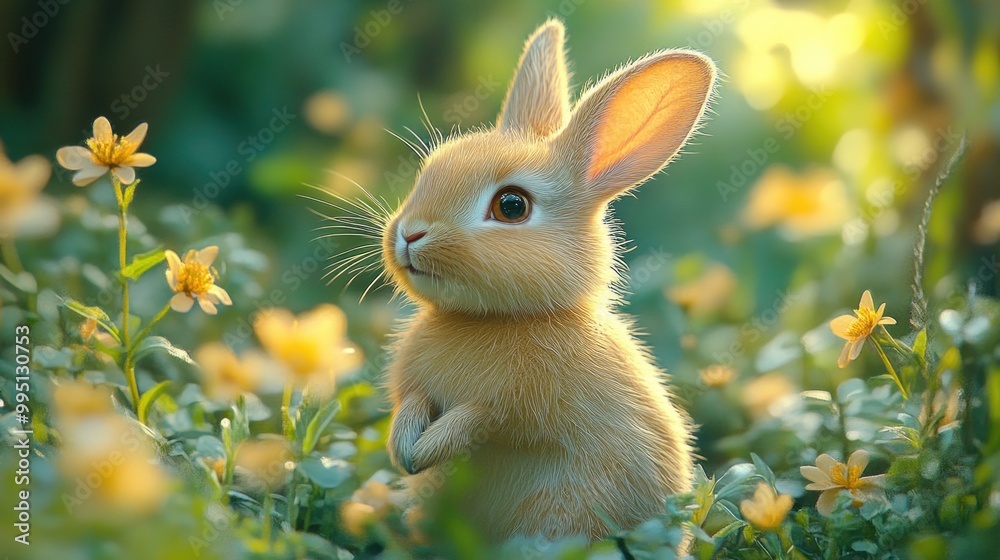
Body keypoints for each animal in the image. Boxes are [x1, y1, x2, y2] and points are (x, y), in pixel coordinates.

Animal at [381, 18, 717, 543]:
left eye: (511, 206)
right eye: (428, 171)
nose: (410, 234)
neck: (491, 318)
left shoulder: (512, 406)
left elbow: (480, 419)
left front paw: (426, 450)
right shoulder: (414, 385)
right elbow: (410, 401)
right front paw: (404, 450)